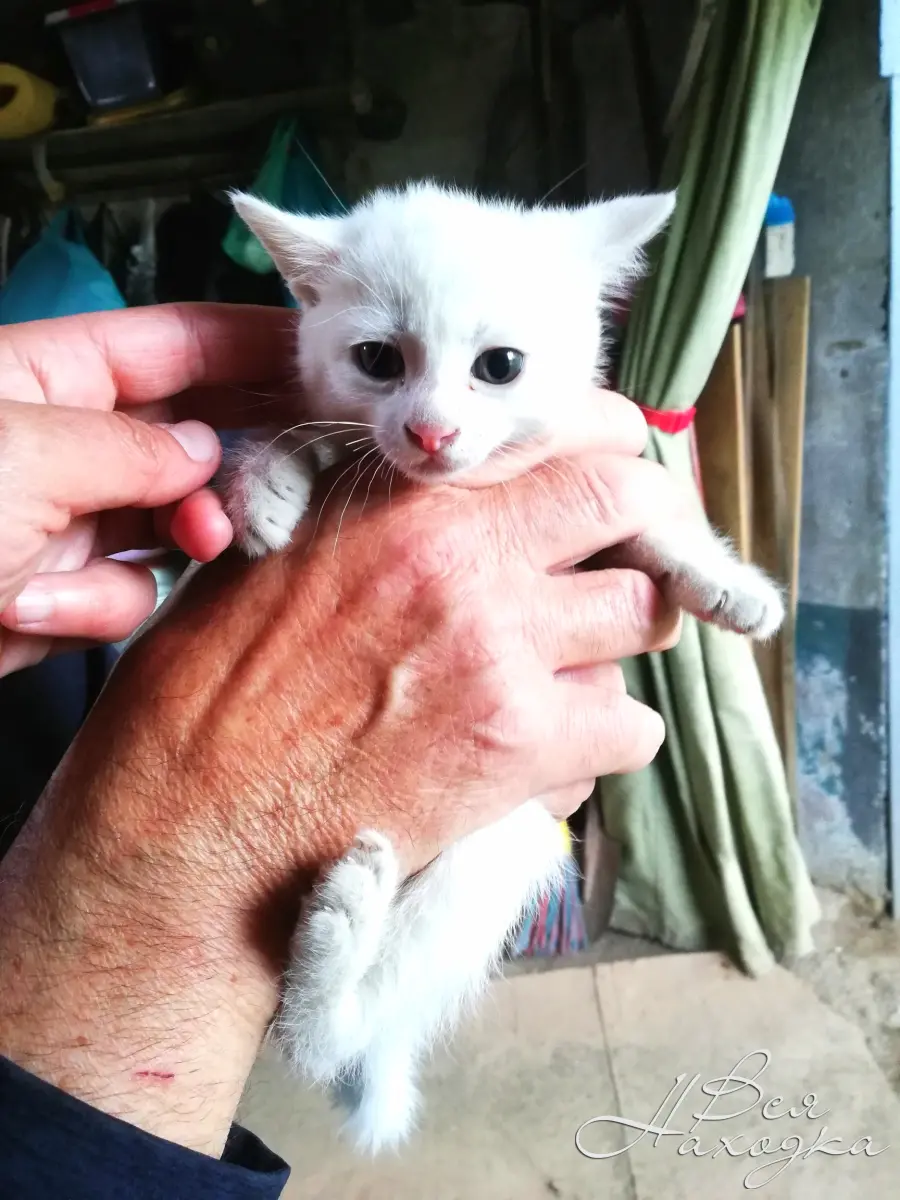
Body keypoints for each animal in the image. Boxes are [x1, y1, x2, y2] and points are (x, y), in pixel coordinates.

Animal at [224, 182, 782, 1147]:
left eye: (502, 365)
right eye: (377, 359)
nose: (430, 433)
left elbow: (649, 523)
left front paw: (726, 584)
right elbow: (309, 431)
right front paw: (265, 479)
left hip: (492, 847)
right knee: (328, 1044)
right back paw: (339, 934)